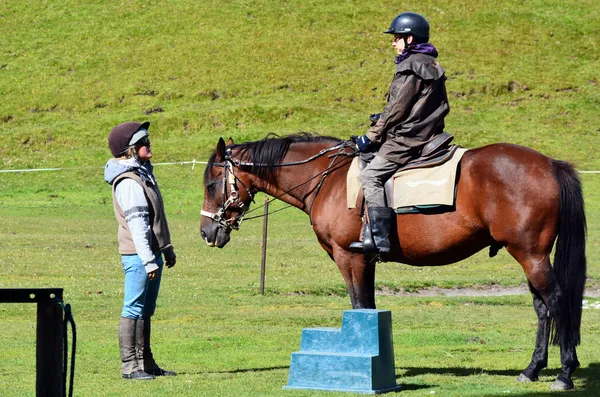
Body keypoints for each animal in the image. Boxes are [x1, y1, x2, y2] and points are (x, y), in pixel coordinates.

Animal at [200, 134, 584, 390]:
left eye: (211, 184)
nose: (206, 231)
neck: (328, 178)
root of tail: (551, 164)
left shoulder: (350, 258)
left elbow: (359, 306)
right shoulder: (366, 261)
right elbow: (369, 307)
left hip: (531, 255)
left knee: (557, 301)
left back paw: (565, 373)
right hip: (528, 256)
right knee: (542, 308)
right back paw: (532, 369)